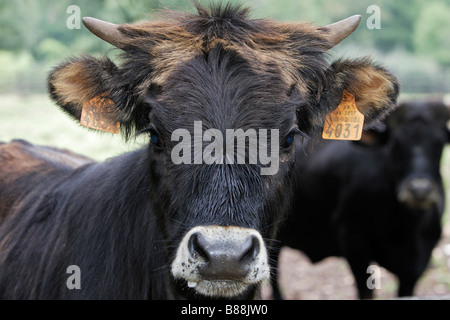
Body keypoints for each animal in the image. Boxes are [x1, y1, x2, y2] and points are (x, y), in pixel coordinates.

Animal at [272, 99, 448, 298]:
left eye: (439, 143)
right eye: (395, 143)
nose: (420, 189)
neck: (406, 227)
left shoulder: (416, 265)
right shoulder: (353, 240)